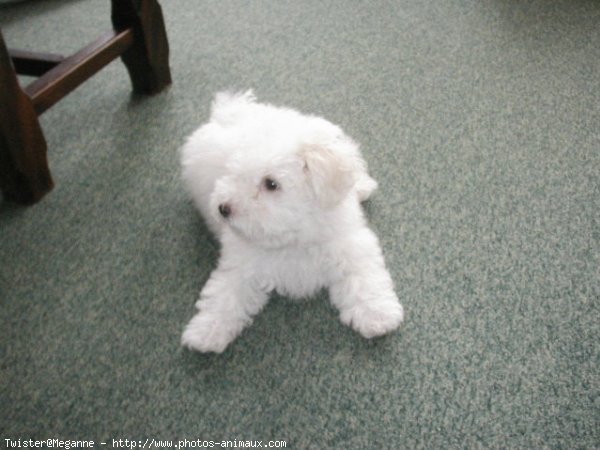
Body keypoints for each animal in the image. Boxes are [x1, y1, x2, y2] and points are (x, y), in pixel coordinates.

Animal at [178, 90, 404, 352]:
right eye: (232, 173)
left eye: (271, 184)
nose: (223, 208)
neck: (293, 236)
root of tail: (229, 110)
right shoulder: (240, 263)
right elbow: (224, 294)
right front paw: (206, 331)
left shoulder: (350, 244)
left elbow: (363, 277)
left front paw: (377, 315)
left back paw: (363, 185)